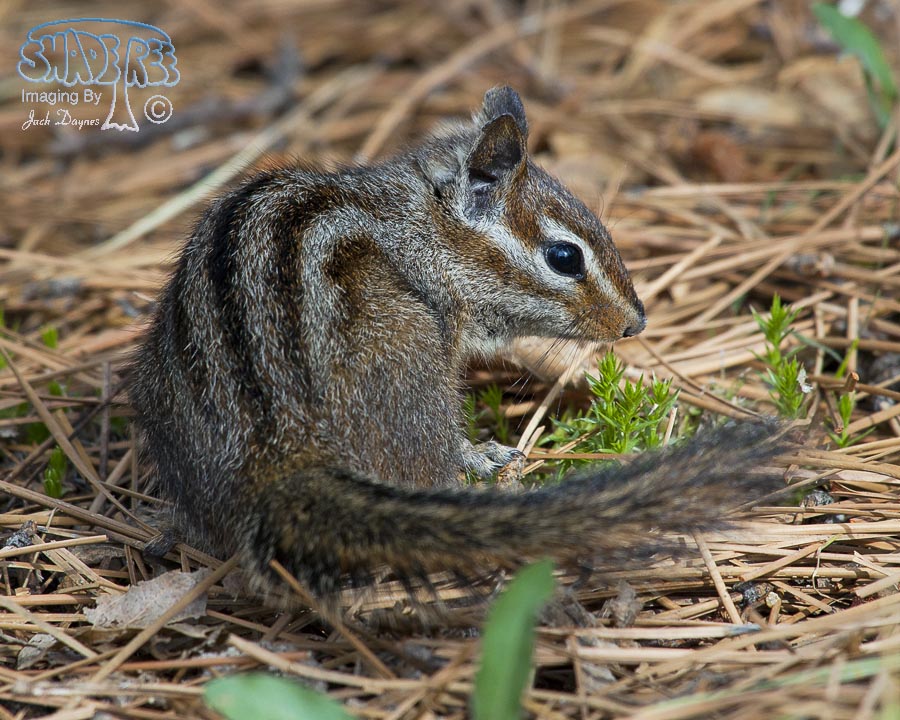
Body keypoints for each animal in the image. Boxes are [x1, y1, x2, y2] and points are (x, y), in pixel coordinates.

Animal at [129, 86, 783, 599]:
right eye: (564, 257)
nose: (635, 324)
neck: (422, 224)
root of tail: (282, 453)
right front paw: (484, 449)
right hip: (414, 361)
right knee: (430, 460)